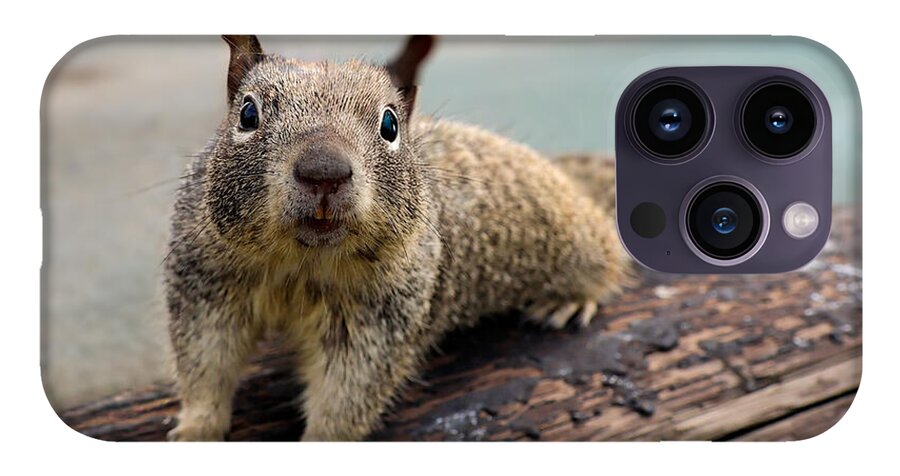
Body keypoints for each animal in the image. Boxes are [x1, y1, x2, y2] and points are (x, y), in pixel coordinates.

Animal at [165, 35, 630, 441]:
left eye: (389, 124)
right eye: (248, 114)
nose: (323, 171)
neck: (302, 262)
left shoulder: (379, 319)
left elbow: (346, 395)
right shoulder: (207, 285)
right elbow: (205, 366)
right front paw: (195, 430)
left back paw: (569, 300)